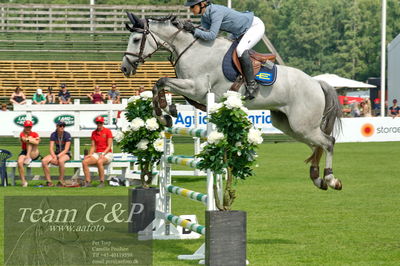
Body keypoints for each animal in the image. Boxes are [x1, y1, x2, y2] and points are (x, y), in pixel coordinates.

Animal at [120, 13, 342, 190]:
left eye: (136, 39)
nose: (124, 68)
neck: (191, 49)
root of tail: (316, 83)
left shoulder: (196, 88)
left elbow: (161, 81)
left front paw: (163, 114)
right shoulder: (193, 91)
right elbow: (161, 86)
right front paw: (168, 113)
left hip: (301, 124)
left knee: (328, 142)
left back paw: (331, 179)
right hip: (288, 125)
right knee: (316, 145)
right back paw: (317, 179)